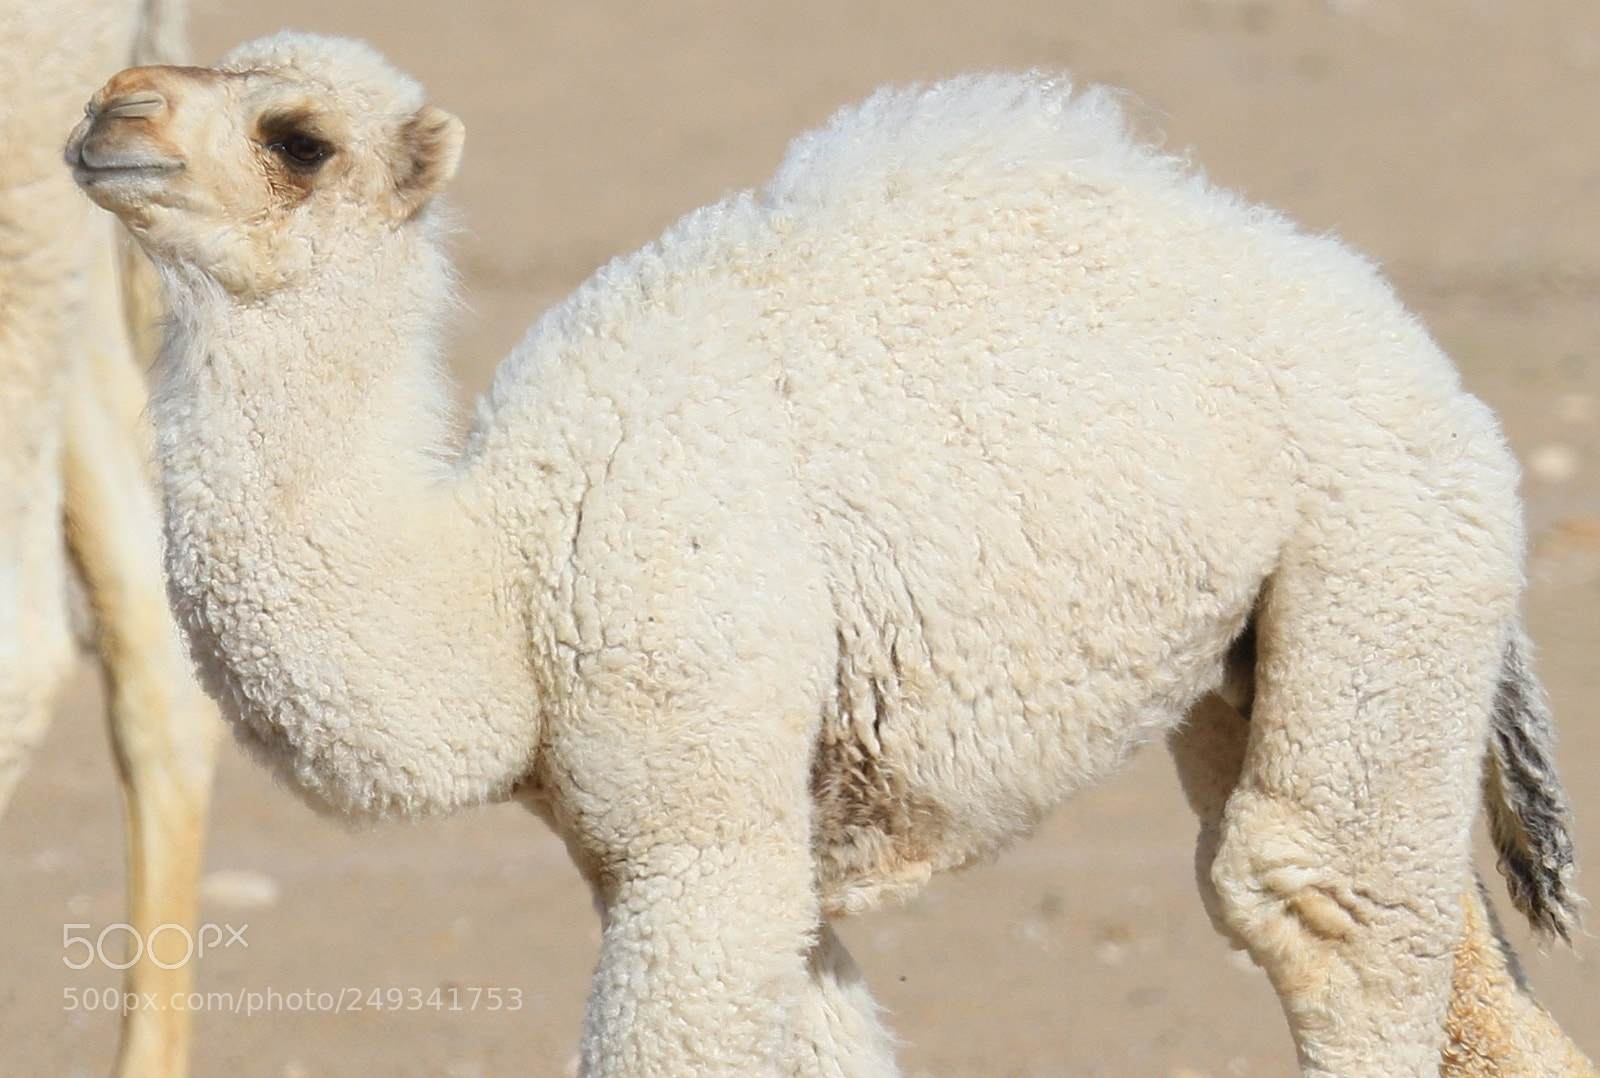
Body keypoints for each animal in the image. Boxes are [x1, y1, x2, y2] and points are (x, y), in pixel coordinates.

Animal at [67, 31, 1593, 1076]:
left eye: (299, 138)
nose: (108, 112)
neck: (508, 577)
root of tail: (1419, 354)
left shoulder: (699, 823)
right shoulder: (688, 841)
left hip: (1383, 549)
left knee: (1320, 906)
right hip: (1279, 651)